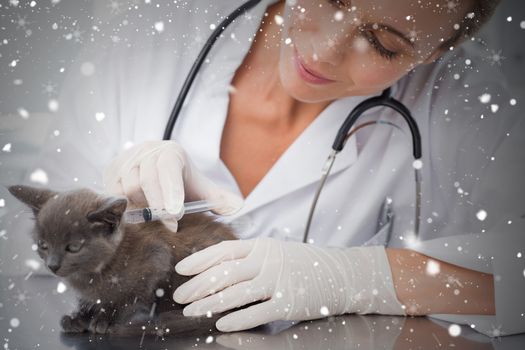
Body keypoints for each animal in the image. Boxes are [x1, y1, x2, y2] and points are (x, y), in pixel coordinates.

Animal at [7, 186, 241, 336]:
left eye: (73, 247)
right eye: (43, 245)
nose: (53, 265)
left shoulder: (157, 259)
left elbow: (130, 297)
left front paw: (104, 319)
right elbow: (89, 298)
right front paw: (79, 316)